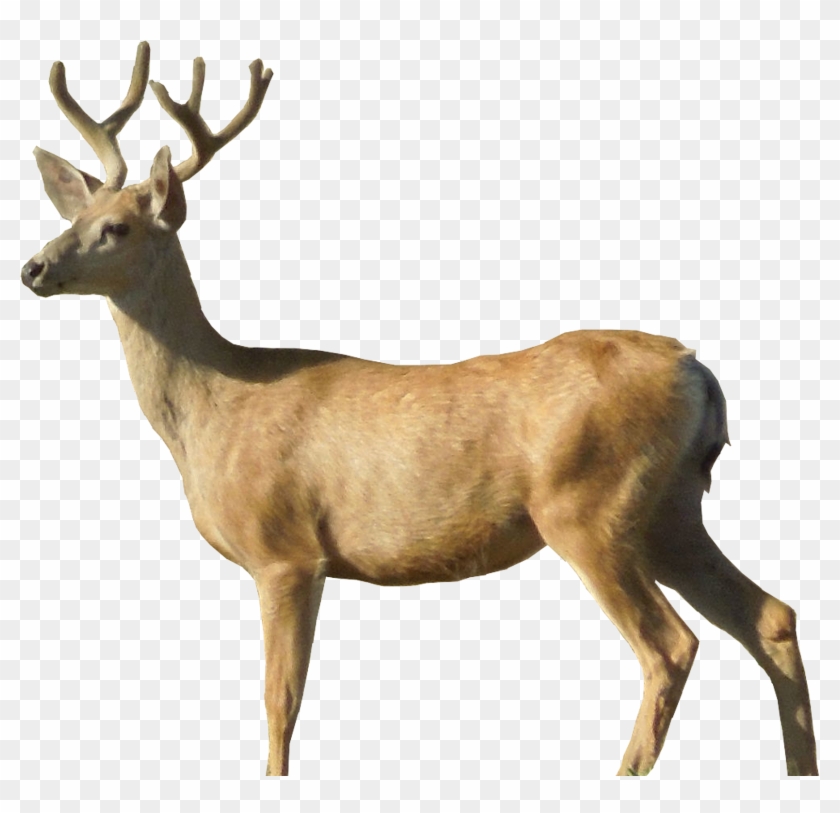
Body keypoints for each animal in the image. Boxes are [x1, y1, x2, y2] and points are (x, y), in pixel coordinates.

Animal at [20, 42, 818, 778]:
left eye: (118, 227)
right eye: (74, 214)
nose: (32, 266)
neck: (216, 407)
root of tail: (697, 369)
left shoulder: (286, 550)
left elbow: (280, 700)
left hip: (588, 505)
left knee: (671, 645)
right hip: (668, 508)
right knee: (771, 615)